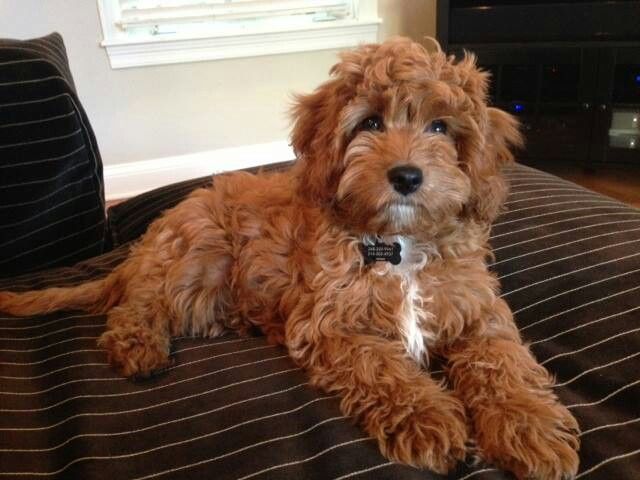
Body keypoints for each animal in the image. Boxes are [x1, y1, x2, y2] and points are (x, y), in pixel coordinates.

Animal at [0, 38, 580, 480]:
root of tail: (142, 246)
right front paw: (428, 420)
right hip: (198, 255)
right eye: (370, 123)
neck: (398, 243)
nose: (407, 176)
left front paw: (529, 428)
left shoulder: (478, 312)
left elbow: (502, 363)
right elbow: (383, 368)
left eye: (440, 127)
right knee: (139, 306)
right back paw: (138, 345)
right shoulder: (330, 325)